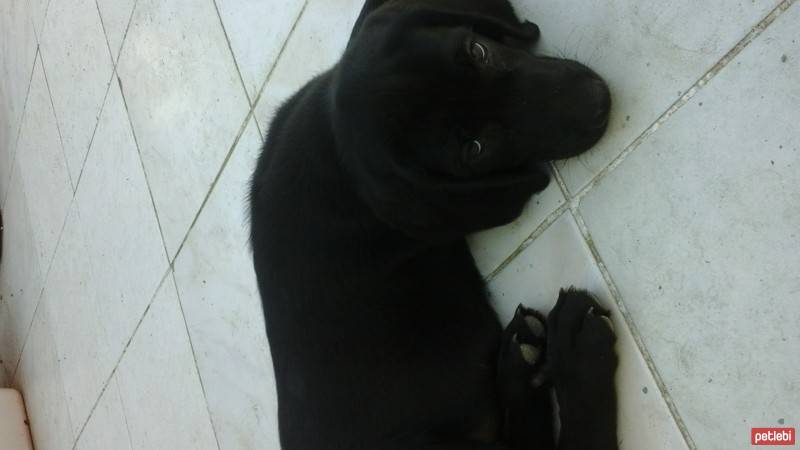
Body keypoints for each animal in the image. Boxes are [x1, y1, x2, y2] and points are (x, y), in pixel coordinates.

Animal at [253, 1, 616, 448]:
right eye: (475, 149)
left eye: (479, 51)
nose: (598, 101)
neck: (335, 149)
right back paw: (576, 351)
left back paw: (520, 361)